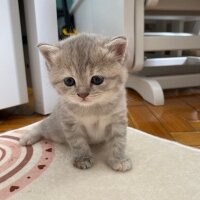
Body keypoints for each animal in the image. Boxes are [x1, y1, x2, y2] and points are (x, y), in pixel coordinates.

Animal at [19, 33, 132, 171]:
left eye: (97, 79)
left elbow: (118, 141)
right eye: (69, 81)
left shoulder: (118, 120)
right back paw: (28, 136)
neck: (93, 108)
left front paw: (119, 159)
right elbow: (79, 143)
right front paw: (83, 159)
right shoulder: (71, 124)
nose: (82, 94)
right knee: (41, 125)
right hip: (54, 129)